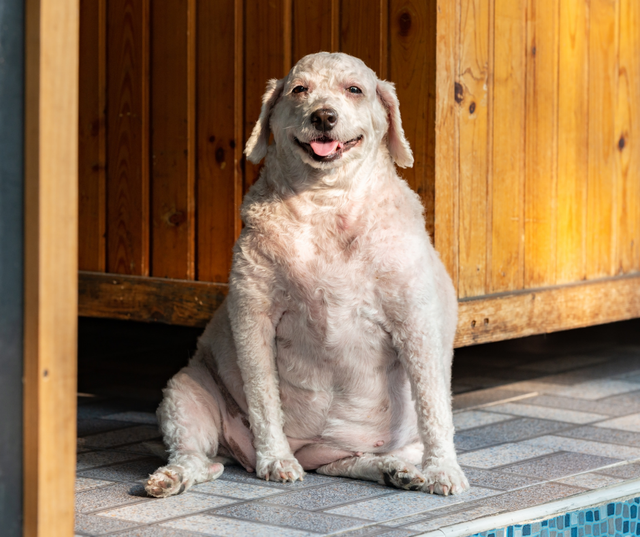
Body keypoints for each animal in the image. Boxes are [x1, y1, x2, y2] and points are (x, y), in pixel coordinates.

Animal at [146, 52, 470, 496]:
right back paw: (172, 477)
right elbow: (264, 399)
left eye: (355, 89)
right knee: (199, 458)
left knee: (350, 462)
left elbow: (433, 405)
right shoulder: (253, 316)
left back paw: (395, 469)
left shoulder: (416, 322)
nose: (324, 116)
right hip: (187, 391)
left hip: (378, 444)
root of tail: (315, 452)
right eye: (299, 89)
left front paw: (443, 471)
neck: (326, 201)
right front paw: (276, 460)